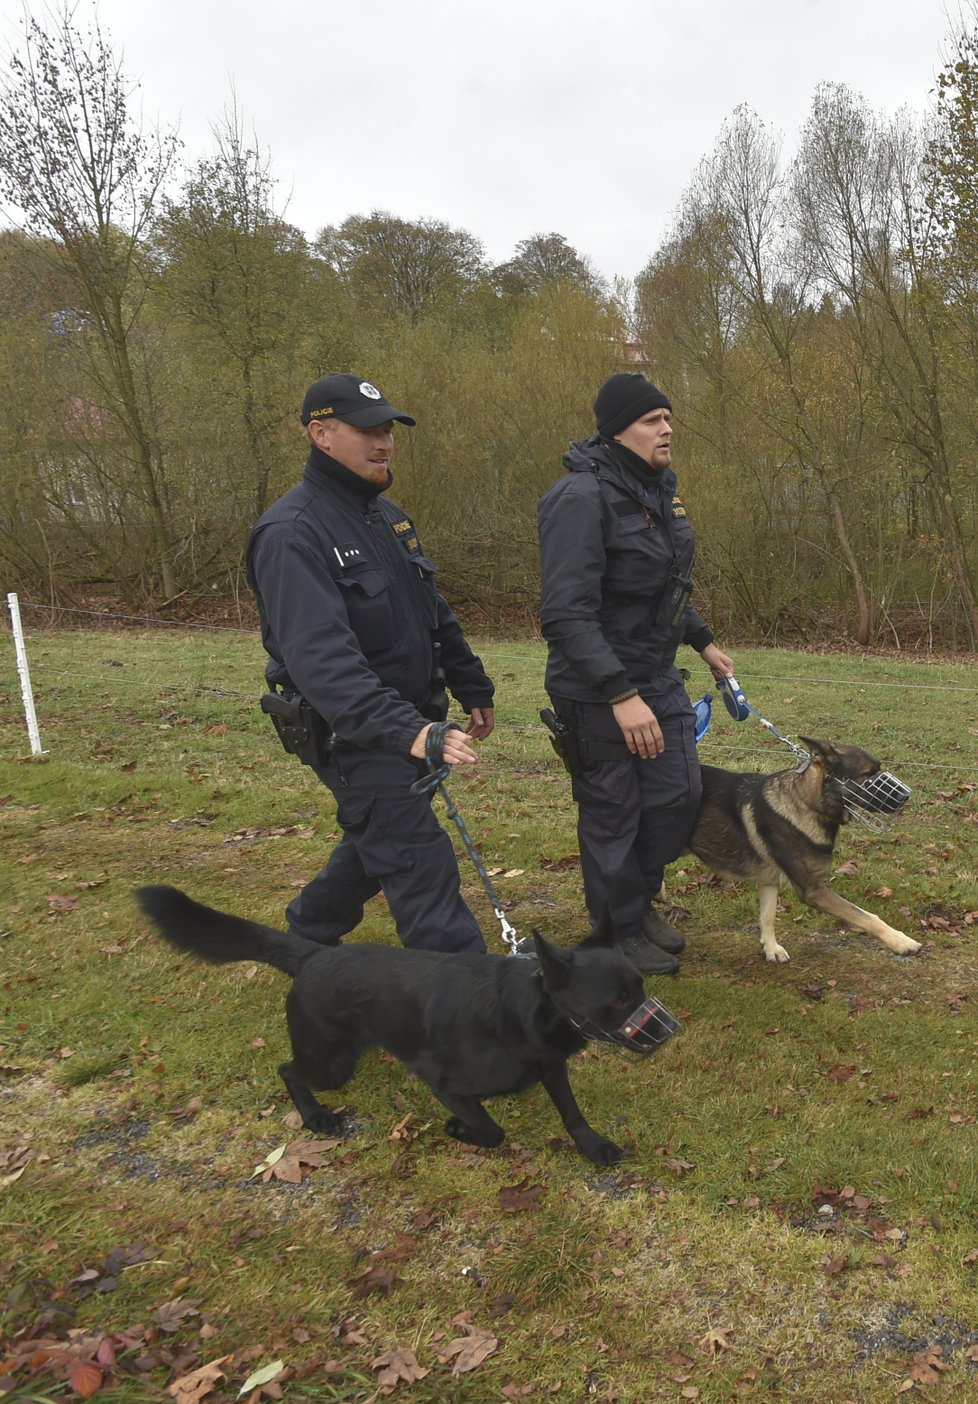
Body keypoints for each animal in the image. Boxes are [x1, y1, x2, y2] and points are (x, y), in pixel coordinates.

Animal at [131, 887, 648, 1162]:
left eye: (640, 987)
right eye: (619, 1001)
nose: (663, 1028)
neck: (524, 1011)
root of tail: (315, 955)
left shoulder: (552, 1067)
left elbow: (572, 1112)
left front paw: (594, 1146)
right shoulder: (447, 1084)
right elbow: (490, 1129)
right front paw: (461, 1131)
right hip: (330, 1061)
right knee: (289, 1070)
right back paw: (315, 1116)